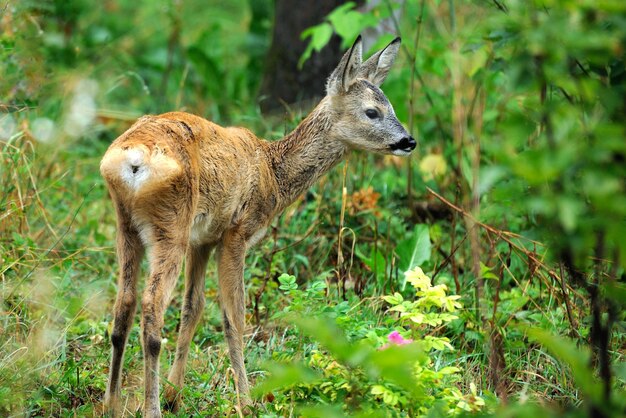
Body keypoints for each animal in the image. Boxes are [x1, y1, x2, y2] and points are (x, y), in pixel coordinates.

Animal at [100, 36, 414, 418]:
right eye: (372, 112)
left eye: (392, 106)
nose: (409, 141)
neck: (272, 172)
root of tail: (132, 160)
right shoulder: (237, 231)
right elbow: (234, 316)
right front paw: (245, 401)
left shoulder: (204, 238)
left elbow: (193, 308)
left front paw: (176, 395)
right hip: (170, 225)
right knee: (151, 308)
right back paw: (151, 408)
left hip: (127, 225)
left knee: (124, 305)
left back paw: (112, 403)